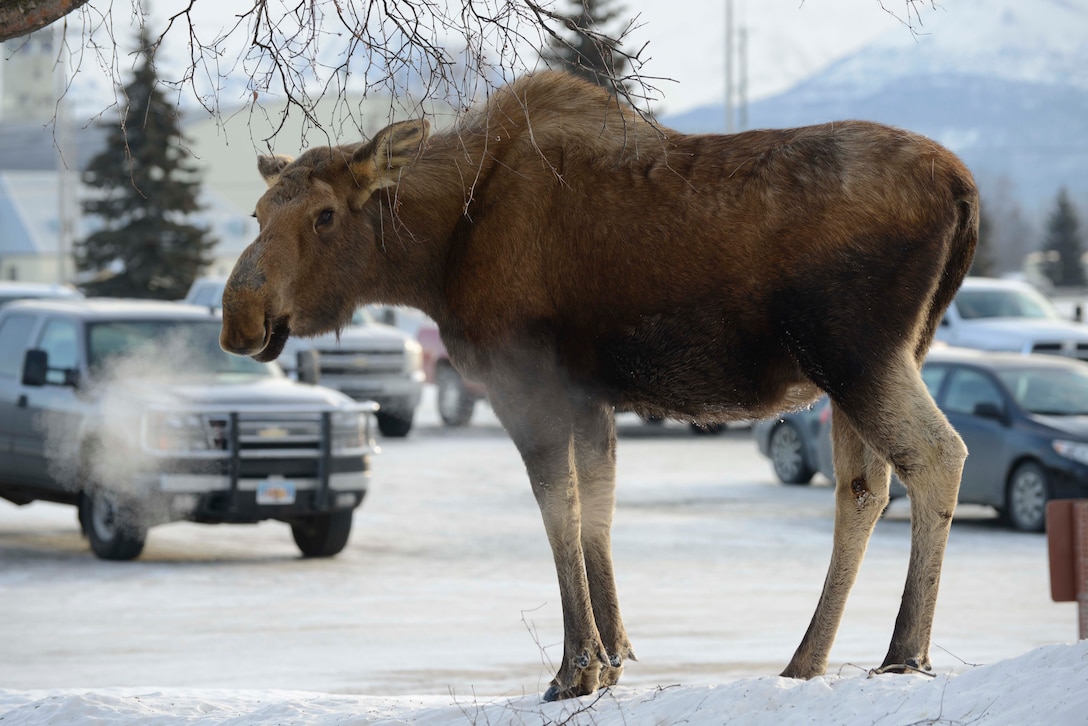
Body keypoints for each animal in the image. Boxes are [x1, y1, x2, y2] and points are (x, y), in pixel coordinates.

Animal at [220, 72, 979, 696]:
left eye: (324, 215)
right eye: (257, 214)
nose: (238, 317)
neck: (435, 256)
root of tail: (964, 188)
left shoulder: (526, 381)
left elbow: (559, 510)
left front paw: (574, 668)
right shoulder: (588, 395)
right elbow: (598, 509)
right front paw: (614, 657)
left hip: (852, 351)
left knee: (936, 455)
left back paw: (905, 652)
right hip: (873, 358)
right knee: (863, 489)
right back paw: (806, 662)